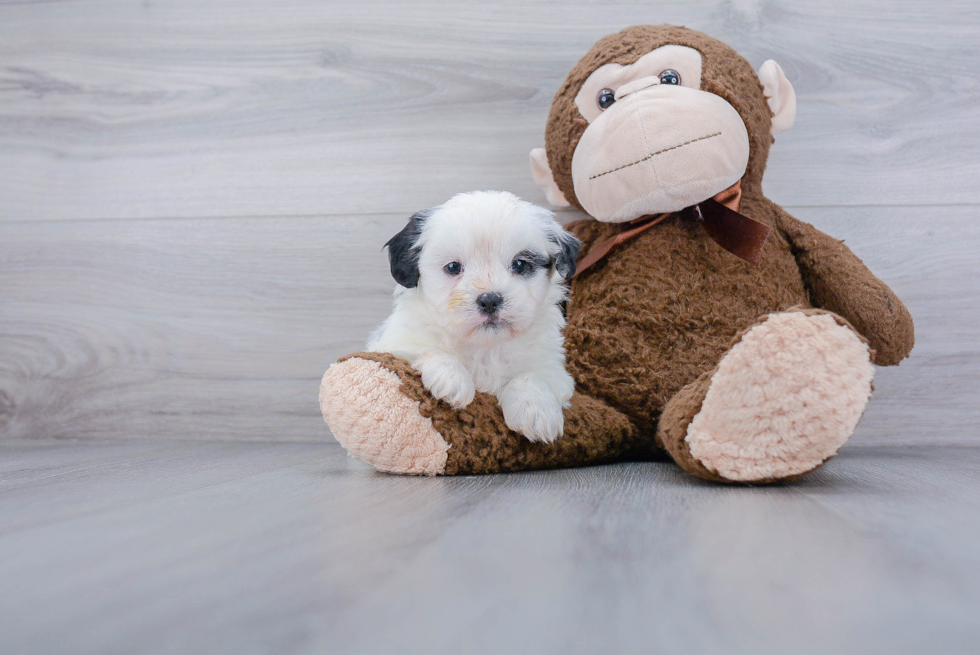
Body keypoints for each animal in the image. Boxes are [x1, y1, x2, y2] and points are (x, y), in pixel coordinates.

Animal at [368, 192, 580, 444]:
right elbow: (428, 349)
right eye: (453, 267)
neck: (485, 346)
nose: (489, 300)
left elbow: (531, 376)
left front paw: (536, 412)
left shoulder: (553, 368)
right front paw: (450, 378)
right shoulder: (393, 343)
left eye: (520, 264)